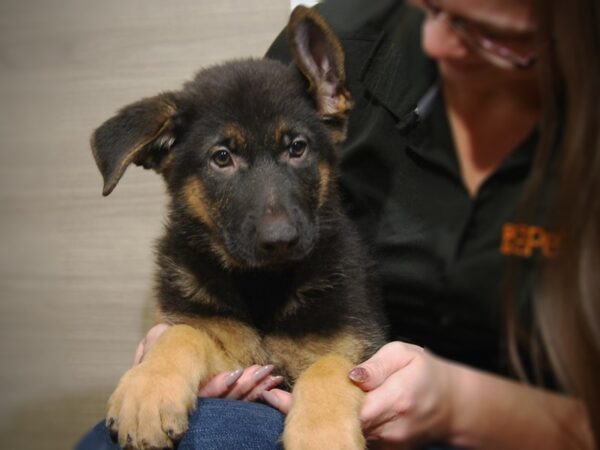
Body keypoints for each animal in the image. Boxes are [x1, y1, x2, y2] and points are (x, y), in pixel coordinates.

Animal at [92, 7, 386, 450]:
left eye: (297, 148)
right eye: (222, 157)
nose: (280, 241)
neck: (263, 285)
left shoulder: (357, 346)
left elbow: (330, 366)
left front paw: (321, 433)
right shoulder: (230, 354)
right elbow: (183, 334)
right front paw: (148, 390)